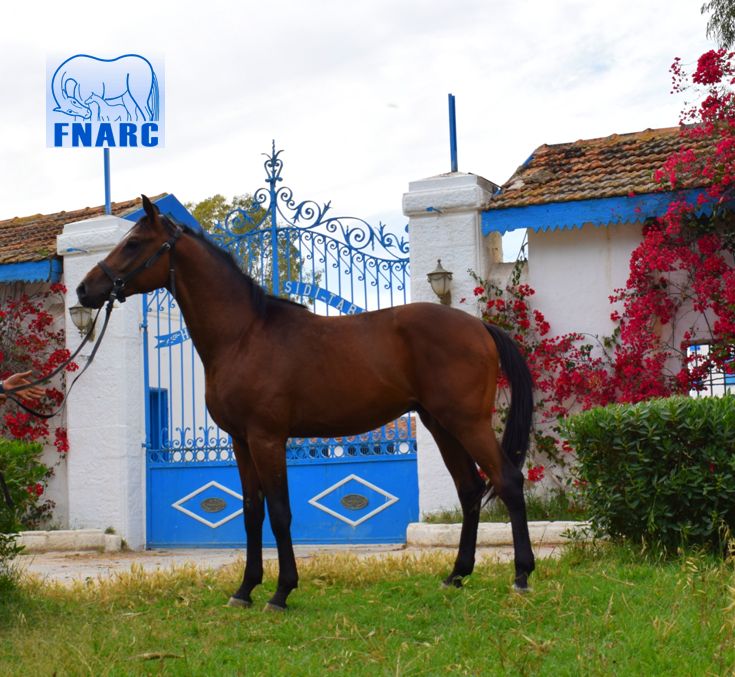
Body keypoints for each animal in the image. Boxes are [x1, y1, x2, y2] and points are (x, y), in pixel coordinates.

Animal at [76, 195, 535, 610]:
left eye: (134, 243)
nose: (84, 289)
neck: (242, 335)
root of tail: (480, 327)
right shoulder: (241, 443)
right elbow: (252, 513)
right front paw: (245, 590)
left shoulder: (267, 438)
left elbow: (280, 512)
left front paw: (281, 592)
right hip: (441, 424)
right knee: (470, 489)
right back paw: (456, 575)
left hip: (467, 422)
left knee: (508, 481)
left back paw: (521, 576)